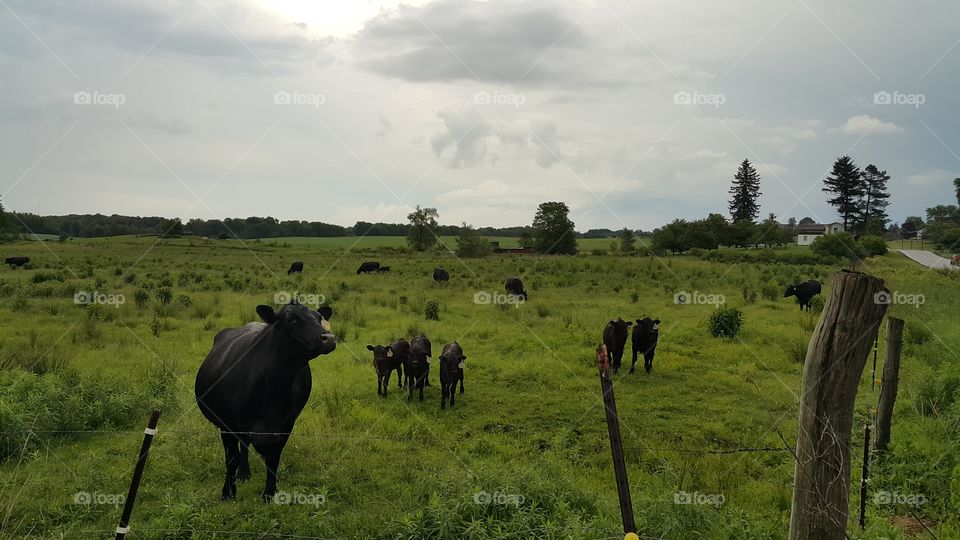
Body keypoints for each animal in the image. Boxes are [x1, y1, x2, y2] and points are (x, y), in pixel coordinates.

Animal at [194, 301, 336, 501]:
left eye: (319, 318)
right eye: (290, 319)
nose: (328, 338)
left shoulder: (285, 425)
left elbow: (273, 458)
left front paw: (269, 493)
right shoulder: (226, 423)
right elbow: (231, 458)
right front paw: (228, 492)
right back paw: (243, 474)